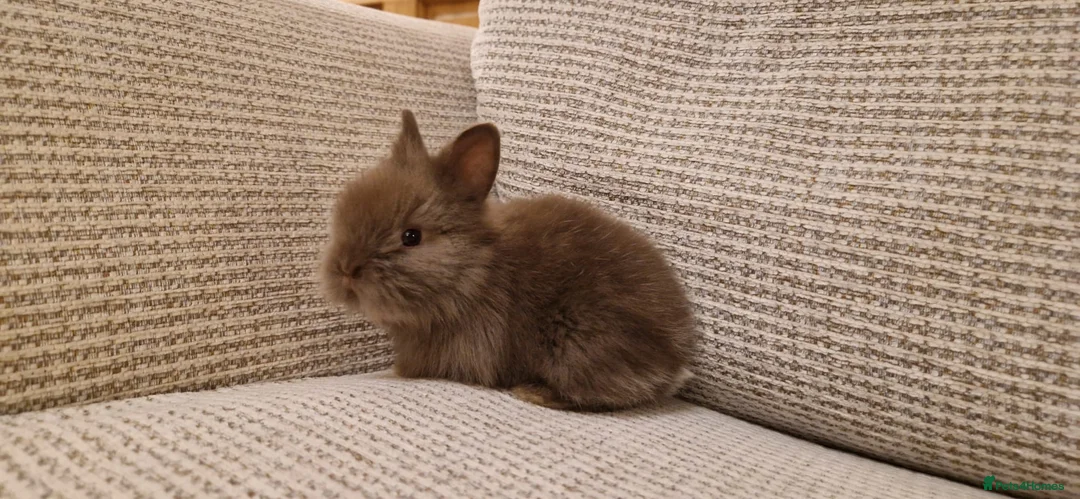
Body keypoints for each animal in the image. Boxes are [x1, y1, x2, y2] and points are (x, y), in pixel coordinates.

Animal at [319, 110, 699, 411]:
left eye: (411, 237)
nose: (346, 270)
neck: (473, 271)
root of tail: (674, 359)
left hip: (577, 345)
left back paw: (532, 393)